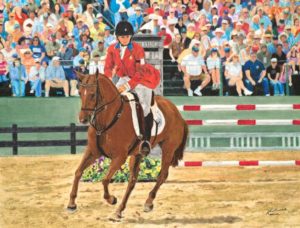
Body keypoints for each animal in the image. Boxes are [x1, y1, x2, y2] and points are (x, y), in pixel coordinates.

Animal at [68, 71, 188, 221]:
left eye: (92, 94)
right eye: (79, 92)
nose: (83, 119)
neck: (108, 119)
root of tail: (176, 112)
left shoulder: (119, 157)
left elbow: (105, 180)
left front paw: (111, 199)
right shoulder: (93, 152)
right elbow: (78, 172)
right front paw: (71, 204)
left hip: (168, 149)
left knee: (162, 175)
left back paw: (148, 203)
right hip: (137, 154)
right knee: (132, 181)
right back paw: (120, 210)